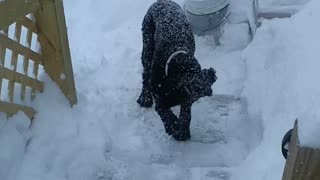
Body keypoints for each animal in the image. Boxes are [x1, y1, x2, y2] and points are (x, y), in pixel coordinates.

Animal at [136, 0, 216, 141]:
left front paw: (182, 130)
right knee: (145, 74)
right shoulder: (159, 94)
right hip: (147, 46)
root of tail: (162, 2)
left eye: (193, 97)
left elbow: (185, 111)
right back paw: (144, 98)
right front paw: (173, 126)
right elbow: (164, 111)